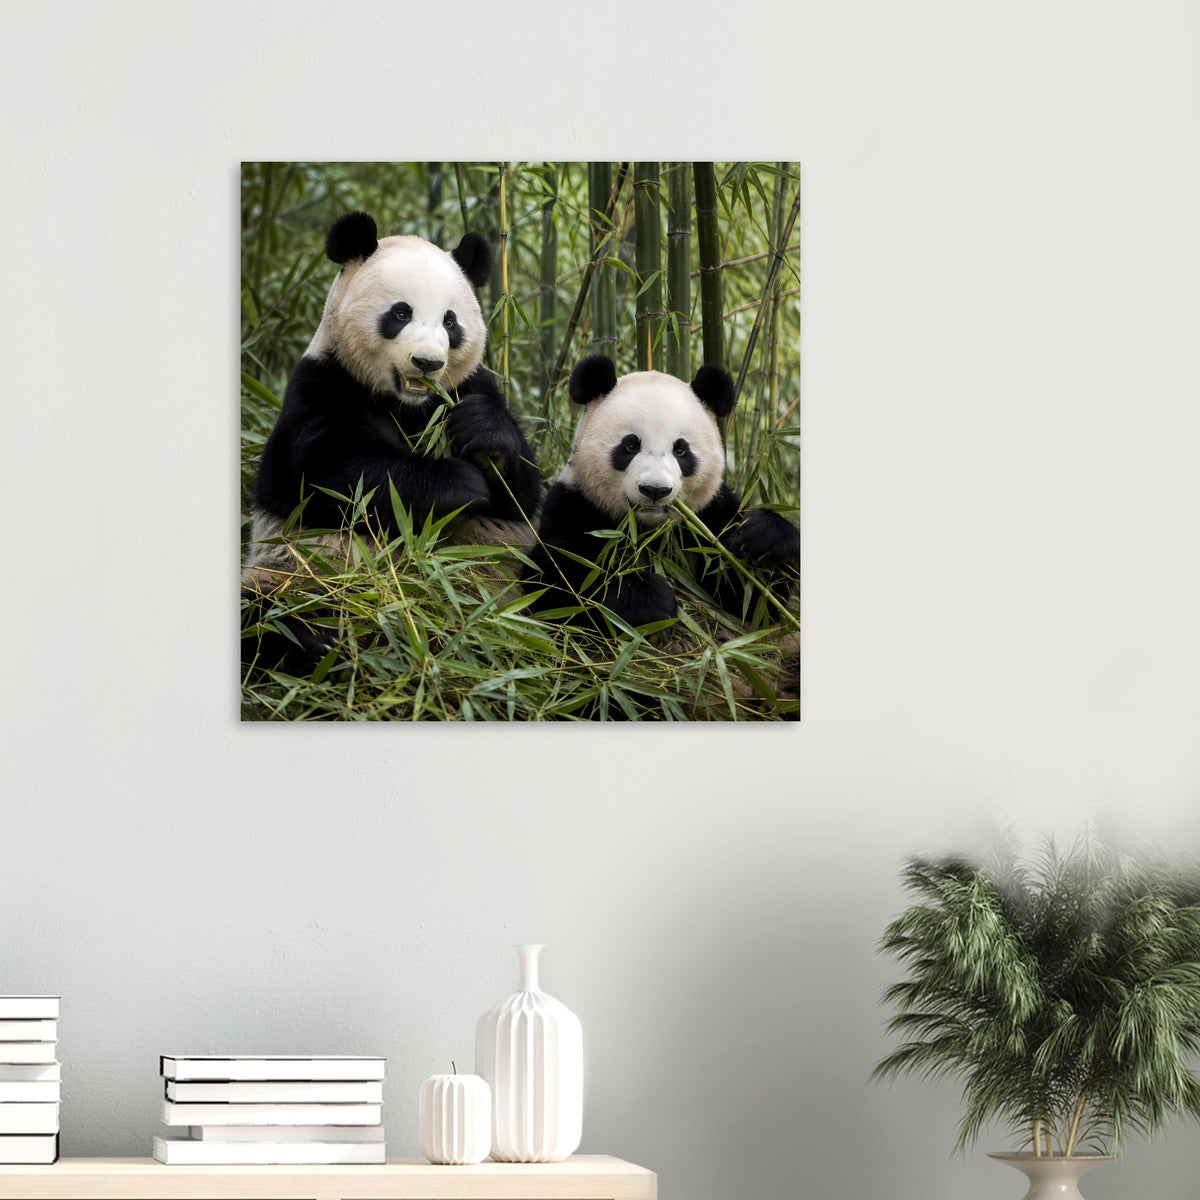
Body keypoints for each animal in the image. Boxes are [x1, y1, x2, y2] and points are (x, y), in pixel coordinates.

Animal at [243, 211, 542, 670]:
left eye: (450, 322)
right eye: (401, 313)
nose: (428, 362)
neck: (406, 405)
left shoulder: (471, 386)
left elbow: (522, 494)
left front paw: (481, 431)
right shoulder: (320, 387)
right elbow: (339, 475)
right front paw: (461, 484)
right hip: (294, 572)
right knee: (265, 615)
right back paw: (319, 645)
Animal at [525, 353, 799, 629]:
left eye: (681, 450)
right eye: (631, 445)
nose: (655, 490)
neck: (649, 531)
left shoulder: (708, 517)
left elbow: (750, 599)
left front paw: (765, 537)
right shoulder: (575, 506)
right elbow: (560, 586)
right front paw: (647, 597)